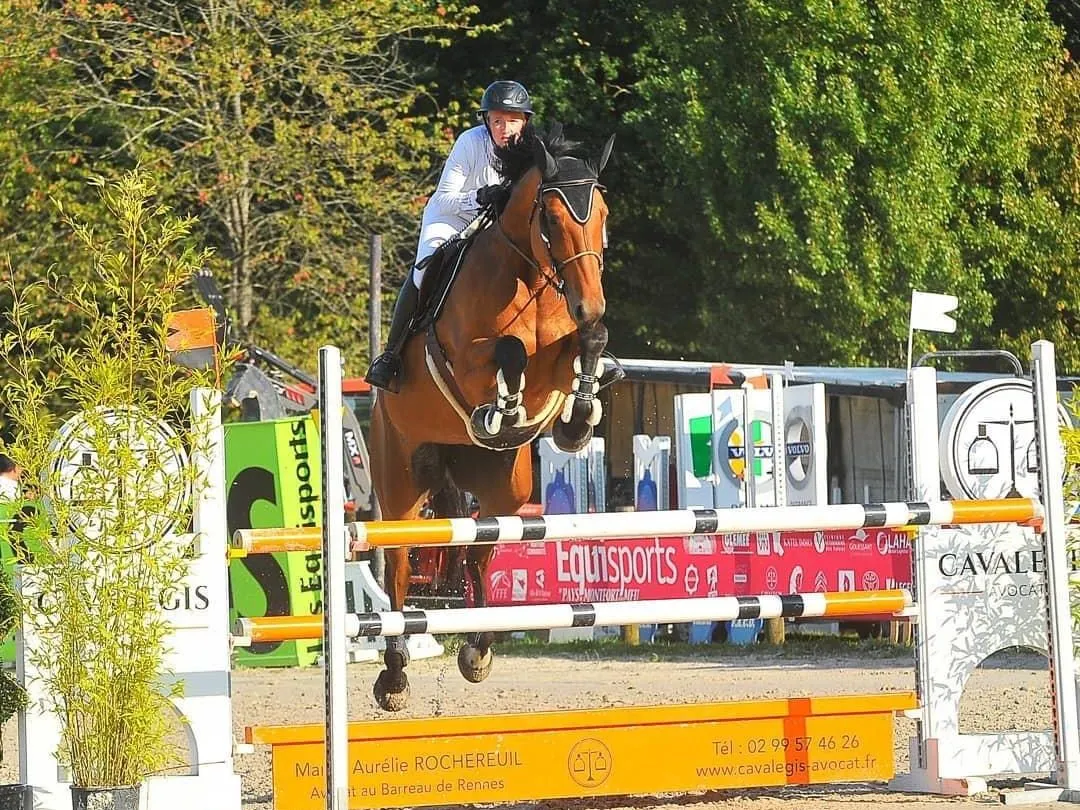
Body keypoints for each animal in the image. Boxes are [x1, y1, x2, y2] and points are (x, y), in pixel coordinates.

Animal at [367, 123, 617, 712]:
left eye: (603, 215)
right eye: (552, 219)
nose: (590, 303)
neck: (531, 278)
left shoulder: (563, 351)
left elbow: (587, 345)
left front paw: (577, 419)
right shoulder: (467, 359)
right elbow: (509, 351)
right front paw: (500, 410)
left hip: (506, 489)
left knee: (480, 556)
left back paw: (477, 649)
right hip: (400, 483)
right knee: (400, 569)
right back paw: (394, 678)